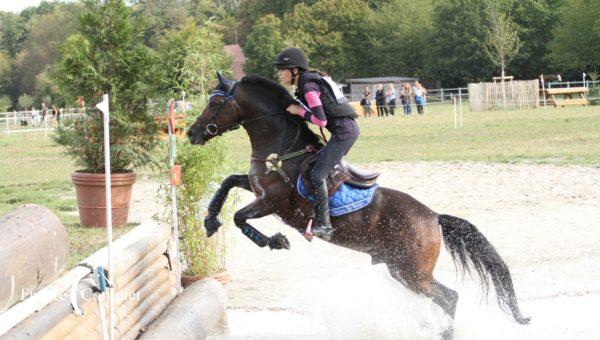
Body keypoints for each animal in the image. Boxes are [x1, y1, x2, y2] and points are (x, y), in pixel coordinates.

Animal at [188, 73, 528, 336]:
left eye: (214, 103)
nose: (192, 133)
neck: (281, 147)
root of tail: (433, 217)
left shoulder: (273, 201)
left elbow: (240, 218)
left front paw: (275, 240)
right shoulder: (257, 188)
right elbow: (227, 183)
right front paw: (210, 221)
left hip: (413, 272)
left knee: (450, 297)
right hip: (400, 269)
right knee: (443, 298)